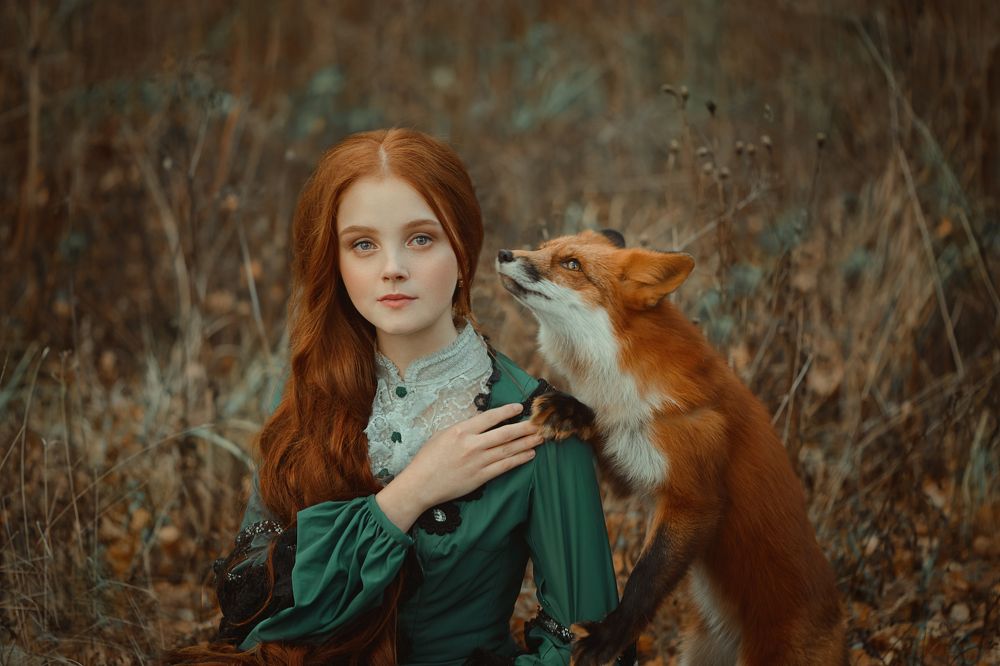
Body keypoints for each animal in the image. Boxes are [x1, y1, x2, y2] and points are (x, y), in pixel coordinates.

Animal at [495, 229, 846, 666]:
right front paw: (569, 410)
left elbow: (645, 579)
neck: (623, 377)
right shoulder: (632, 459)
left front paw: (609, 636)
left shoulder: (693, 498)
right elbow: (600, 427)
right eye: (544, 248)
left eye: (572, 264)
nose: (503, 253)